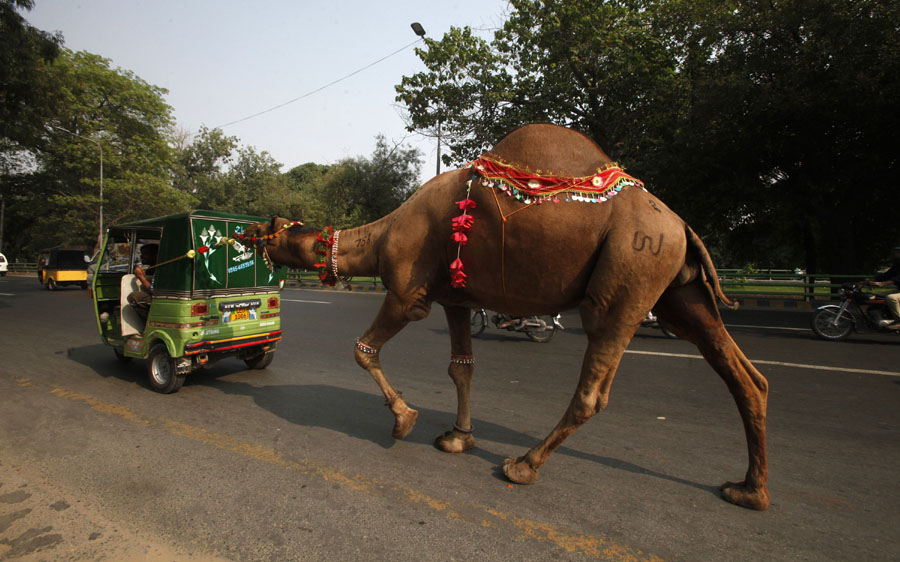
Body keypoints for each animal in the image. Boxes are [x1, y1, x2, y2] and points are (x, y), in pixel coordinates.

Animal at [243, 124, 768, 510]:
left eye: (267, 234)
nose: (244, 235)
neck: (384, 232)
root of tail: (682, 226)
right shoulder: (456, 298)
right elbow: (461, 368)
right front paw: (458, 438)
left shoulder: (408, 291)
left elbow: (362, 349)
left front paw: (404, 420)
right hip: (681, 291)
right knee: (744, 375)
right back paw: (749, 490)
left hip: (632, 269)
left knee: (594, 389)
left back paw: (523, 465)